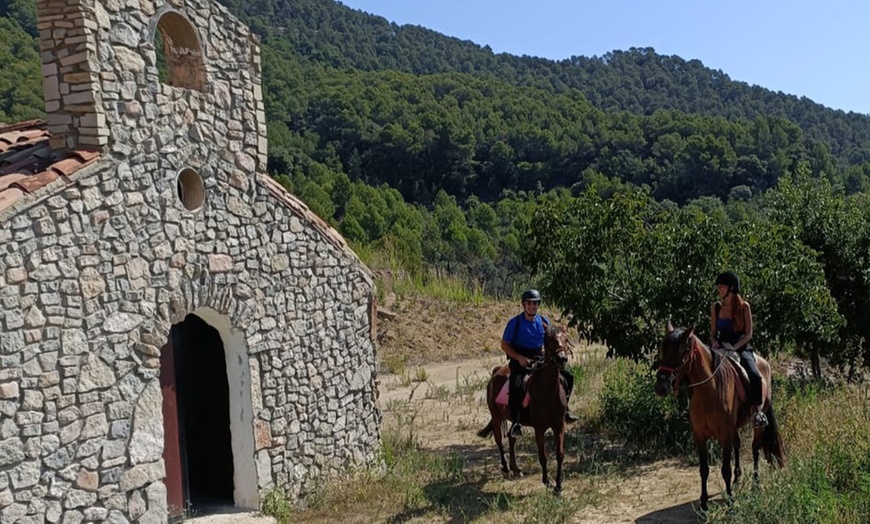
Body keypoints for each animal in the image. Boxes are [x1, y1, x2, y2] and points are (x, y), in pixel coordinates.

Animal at [476, 326, 572, 494]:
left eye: (565, 339)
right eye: (548, 340)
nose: (562, 359)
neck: (547, 392)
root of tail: (496, 372)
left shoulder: (559, 426)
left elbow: (560, 454)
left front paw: (559, 485)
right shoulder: (539, 428)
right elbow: (543, 455)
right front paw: (546, 481)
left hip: (514, 420)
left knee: (511, 437)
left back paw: (515, 468)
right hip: (496, 416)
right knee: (499, 439)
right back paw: (506, 468)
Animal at [656, 324, 792, 512]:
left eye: (683, 351)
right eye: (663, 349)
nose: (660, 387)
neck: (709, 391)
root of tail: (764, 363)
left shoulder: (724, 434)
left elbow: (725, 468)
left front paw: (730, 503)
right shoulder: (699, 436)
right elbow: (703, 469)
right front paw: (704, 503)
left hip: (758, 422)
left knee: (755, 449)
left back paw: (755, 484)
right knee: (738, 444)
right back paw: (737, 479)